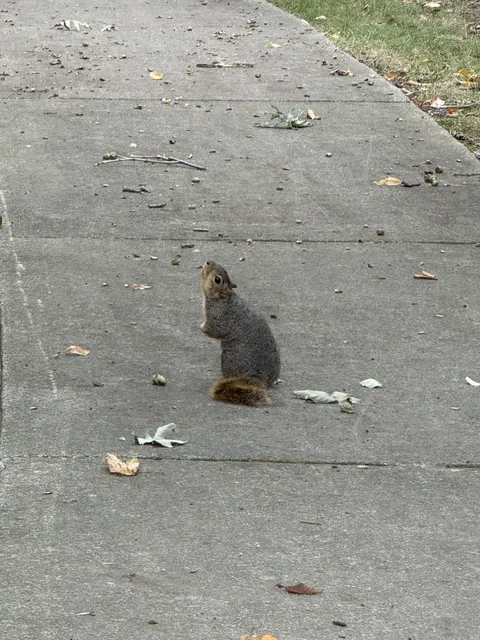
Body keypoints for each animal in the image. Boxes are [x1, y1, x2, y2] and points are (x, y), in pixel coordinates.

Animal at [200, 260, 280, 406]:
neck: (223, 299)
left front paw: (202, 328)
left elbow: (215, 331)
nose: (208, 261)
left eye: (217, 279)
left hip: (229, 359)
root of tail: (259, 378)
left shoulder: (219, 315)